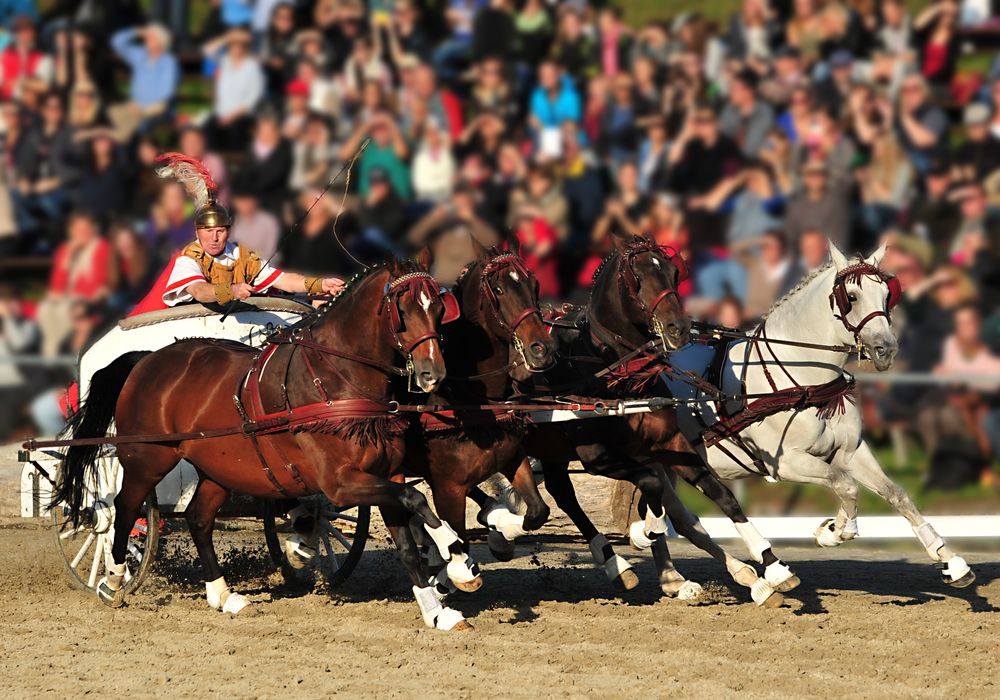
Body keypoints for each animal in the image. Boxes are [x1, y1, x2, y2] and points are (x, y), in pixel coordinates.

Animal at [55, 260, 484, 632]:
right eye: (403, 309)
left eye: (439, 308)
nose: (432, 374)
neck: (338, 380)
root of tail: (146, 360)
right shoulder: (340, 483)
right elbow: (418, 500)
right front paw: (458, 556)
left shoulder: (385, 475)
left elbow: (408, 537)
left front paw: (438, 611)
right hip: (146, 459)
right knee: (122, 510)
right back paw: (113, 579)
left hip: (219, 468)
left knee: (198, 518)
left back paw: (223, 595)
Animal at [484, 235, 796, 608]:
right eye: (639, 278)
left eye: (675, 273)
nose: (679, 328)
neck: (615, 375)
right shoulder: (597, 456)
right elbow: (652, 484)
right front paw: (643, 534)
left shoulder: (670, 443)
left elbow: (721, 496)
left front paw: (772, 567)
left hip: (551, 448)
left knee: (560, 492)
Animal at [660, 243, 972, 588]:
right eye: (851, 296)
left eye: (886, 294)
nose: (886, 349)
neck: (803, 381)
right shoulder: (785, 464)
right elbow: (845, 485)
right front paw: (837, 530)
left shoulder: (850, 451)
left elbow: (896, 493)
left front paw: (949, 558)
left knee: (677, 522)